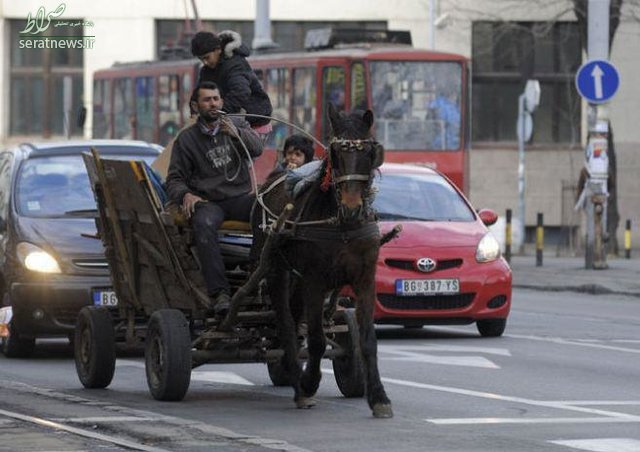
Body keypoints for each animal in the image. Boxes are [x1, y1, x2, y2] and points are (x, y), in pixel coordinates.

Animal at [252, 104, 392, 418]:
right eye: (336, 154)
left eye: (369, 152)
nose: (352, 208)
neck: (341, 224)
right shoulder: (315, 281)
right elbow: (316, 340)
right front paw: (309, 382)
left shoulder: (365, 279)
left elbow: (368, 340)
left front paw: (378, 396)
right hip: (277, 270)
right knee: (286, 321)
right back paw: (297, 380)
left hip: (298, 280)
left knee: (294, 318)